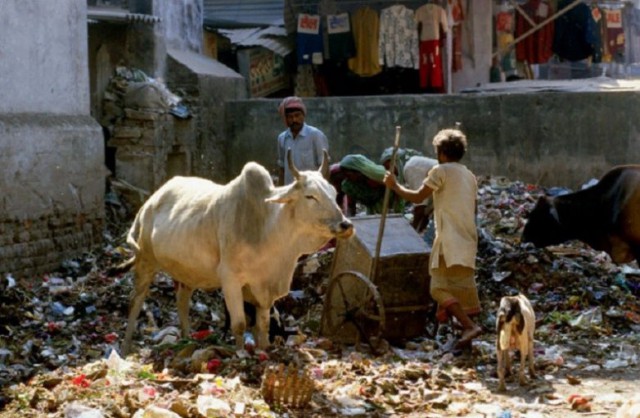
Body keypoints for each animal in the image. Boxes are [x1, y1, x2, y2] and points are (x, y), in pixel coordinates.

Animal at [120, 150, 356, 352]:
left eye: (334, 192)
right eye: (310, 196)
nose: (345, 225)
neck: (267, 229)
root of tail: (150, 202)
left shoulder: (263, 288)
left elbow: (263, 327)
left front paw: (264, 351)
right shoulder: (231, 279)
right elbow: (240, 325)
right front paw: (241, 354)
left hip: (186, 272)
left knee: (182, 303)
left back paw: (187, 340)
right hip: (145, 261)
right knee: (135, 300)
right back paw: (126, 346)